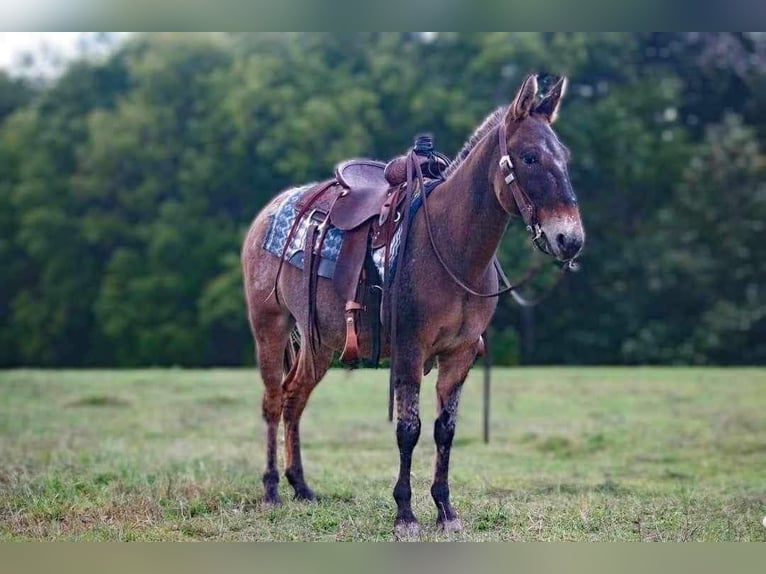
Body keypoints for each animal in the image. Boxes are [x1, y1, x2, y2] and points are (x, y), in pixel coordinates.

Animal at [243, 73, 584, 540]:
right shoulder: (409, 350)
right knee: (274, 401)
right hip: (270, 326)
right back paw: (273, 488)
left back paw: (302, 487)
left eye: (564, 157)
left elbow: (445, 431)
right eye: (530, 157)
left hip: (321, 343)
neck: (452, 245)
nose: (571, 238)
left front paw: (445, 509)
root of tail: (270, 211)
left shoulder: (460, 354)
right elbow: (409, 430)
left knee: (295, 399)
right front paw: (405, 514)